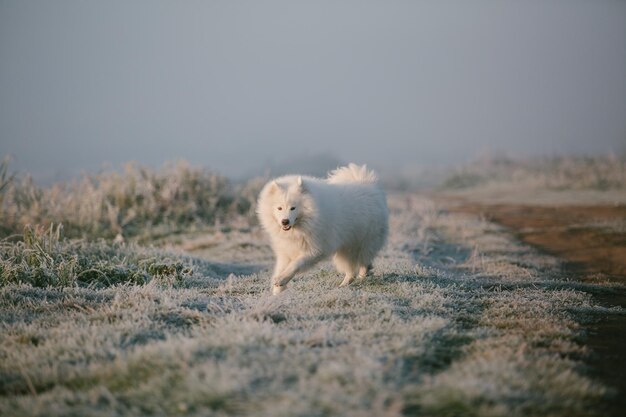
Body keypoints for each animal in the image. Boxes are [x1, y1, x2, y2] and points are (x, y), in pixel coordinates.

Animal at [255, 164, 386, 294]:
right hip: (346, 250)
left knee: (361, 263)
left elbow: (295, 264)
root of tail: (367, 183)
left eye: (293, 208)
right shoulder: (286, 252)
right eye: (279, 208)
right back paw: (345, 284)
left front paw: (281, 279)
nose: (285, 221)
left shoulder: (315, 249)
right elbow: (282, 268)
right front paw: (277, 291)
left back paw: (359, 278)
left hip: (361, 243)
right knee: (354, 269)